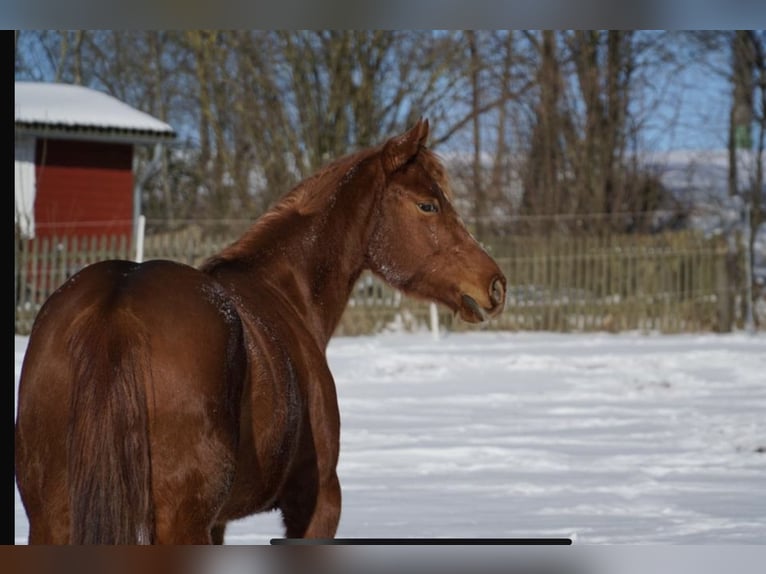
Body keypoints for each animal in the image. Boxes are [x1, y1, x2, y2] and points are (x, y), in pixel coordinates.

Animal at [14, 119, 507, 544]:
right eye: (428, 204)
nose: (495, 284)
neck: (285, 290)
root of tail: (117, 304)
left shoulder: (219, 523)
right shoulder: (317, 503)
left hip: (53, 521)